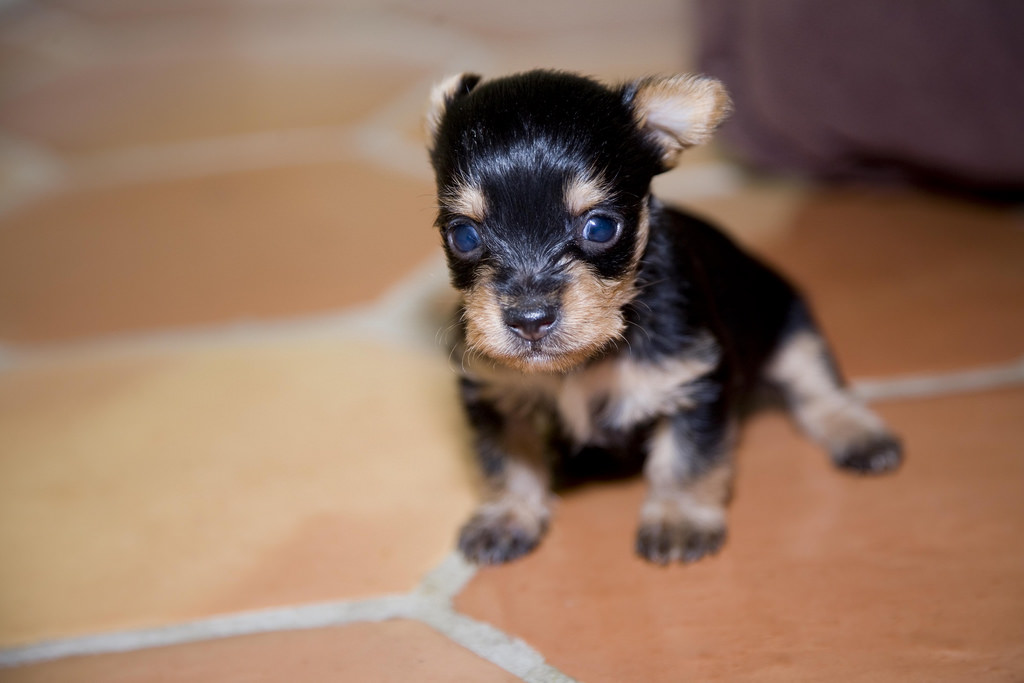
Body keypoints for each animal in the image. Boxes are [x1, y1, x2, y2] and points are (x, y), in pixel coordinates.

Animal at [423, 72, 905, 569]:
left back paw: (860, 436)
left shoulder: (696, 382)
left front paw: (679, 520)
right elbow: (506, 459)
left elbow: (685, 460)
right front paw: (506, 515)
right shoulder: (493, 392)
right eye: (463, 235)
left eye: (600, 227)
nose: (530, 319)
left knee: (817, 385)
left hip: (787, 319)